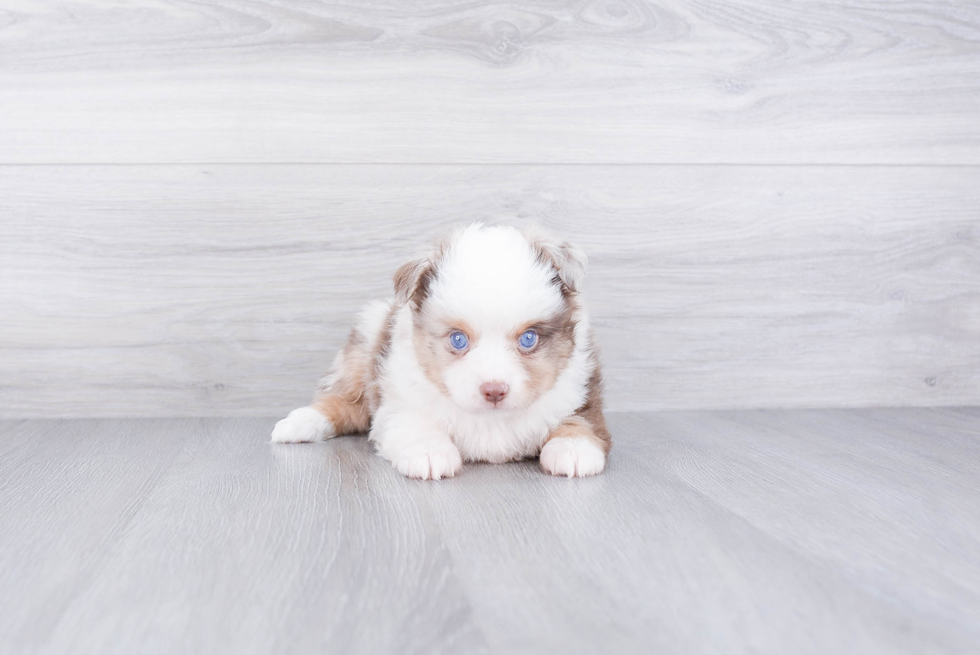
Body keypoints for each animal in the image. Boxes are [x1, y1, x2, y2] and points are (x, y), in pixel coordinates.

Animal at [272, 223, 608, 480]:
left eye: (528, 339)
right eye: (458, 340)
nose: (494, 391)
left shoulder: (581, 393)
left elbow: (579, 421)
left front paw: (572, 450)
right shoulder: (399, 400)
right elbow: (415, 423)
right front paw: (429, 452)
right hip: (365, 342)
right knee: (342, 402)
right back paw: (296, 424)